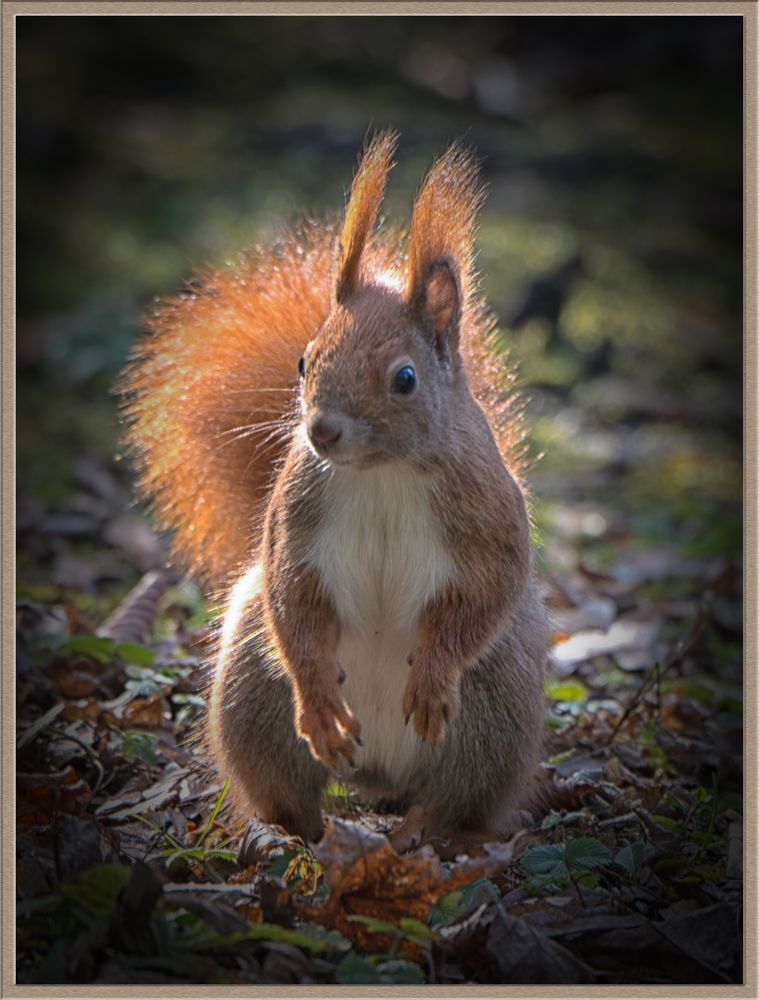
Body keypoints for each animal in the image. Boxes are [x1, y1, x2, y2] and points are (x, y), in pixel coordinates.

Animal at [121, 131, 548, 852]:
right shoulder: (295, 521)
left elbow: (487, 590)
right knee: (286, 786)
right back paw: (295, 833)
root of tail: (378, 776)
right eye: (303, 360)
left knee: (458, 799)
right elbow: (293, 600)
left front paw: (432, 677)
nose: (320, 430)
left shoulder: (487, 514)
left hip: (495, 709)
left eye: (404, 379)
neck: (382, 474)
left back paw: (426, 832)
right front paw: (319, 704)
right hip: (251, 688)